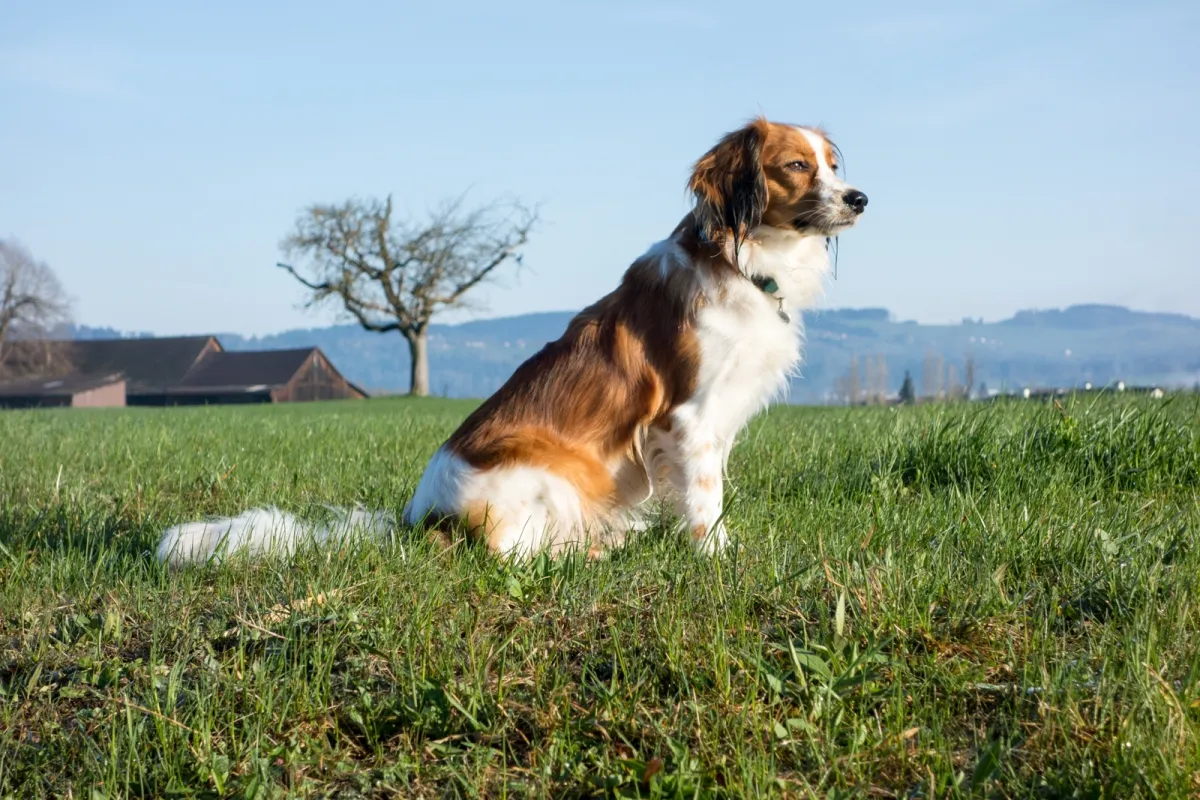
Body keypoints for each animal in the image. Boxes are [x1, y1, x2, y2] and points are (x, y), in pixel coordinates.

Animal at [157, 120, 864, 568]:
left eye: (833, 165)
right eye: (796, 166)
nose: (860, 197)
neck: (738, 259)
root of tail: (420, 519)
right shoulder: (687, 419)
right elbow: (703, 499)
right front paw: (714, 557)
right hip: (549, 468)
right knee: (514, 556)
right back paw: (595, 553)